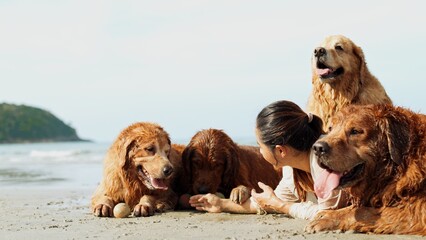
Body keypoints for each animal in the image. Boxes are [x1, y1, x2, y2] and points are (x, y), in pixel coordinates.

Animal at [308, 104, 424, 234]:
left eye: (355, 131)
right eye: (330, 129)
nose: (317, 148)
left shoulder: (417, 212)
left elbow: (362, 211)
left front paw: (326, 220)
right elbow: (354, 208)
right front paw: (327, 213)